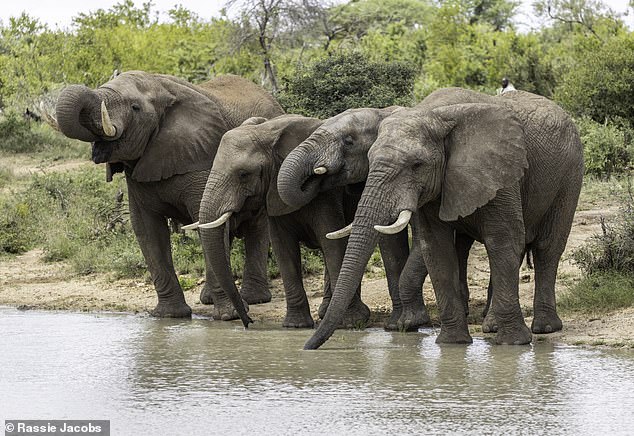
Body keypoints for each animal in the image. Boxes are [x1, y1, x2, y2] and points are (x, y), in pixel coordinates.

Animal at [55, 71, 282, 326]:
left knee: (257, 226)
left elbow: (202, 220)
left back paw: (254, 299)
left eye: (135, 108)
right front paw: (169, 317)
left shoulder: (200, 158)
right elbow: (147, 229)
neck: (161, 88)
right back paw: (208, 299)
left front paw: (229, 316)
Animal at [185, 115, 368, 328]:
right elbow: (283, 249)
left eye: (243, 174)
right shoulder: (273, 198)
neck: (267, 132)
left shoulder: (327, 197)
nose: (248, 321)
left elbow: (332, 243)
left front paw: (351, 322)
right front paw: (295, 326)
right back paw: (325, 312)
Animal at [302, 88, 584, 350]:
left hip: (570, 175)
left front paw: (512, 344)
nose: (307, 348)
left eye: (417, 165)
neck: (434, 115)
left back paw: (544, 328)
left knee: (547, 248)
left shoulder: (499, 171)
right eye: (369, 161)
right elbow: (436, 248)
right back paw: (493, 325)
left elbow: (503, 240)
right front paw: (452, 344)